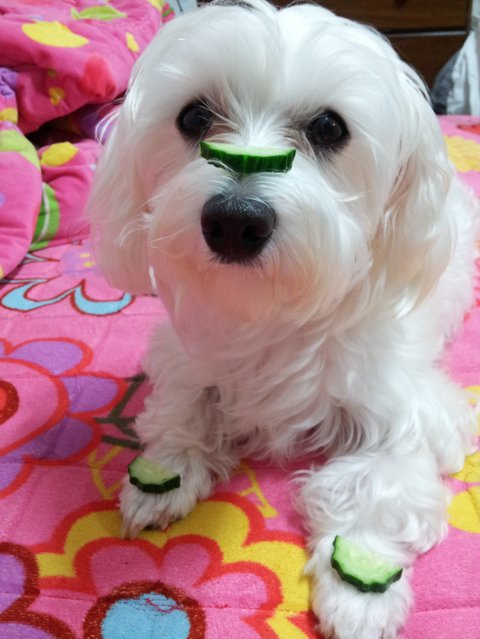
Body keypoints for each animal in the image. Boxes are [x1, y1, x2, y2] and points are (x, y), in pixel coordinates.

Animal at [88, 1, 478, 637]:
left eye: (328, 128)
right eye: (194, 116)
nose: (234, 220)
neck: (274, 310)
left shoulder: (415, 412)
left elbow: (377, 483)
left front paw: (359, 591)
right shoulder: (187, 357)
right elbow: (183, 409)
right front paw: (162, 476)